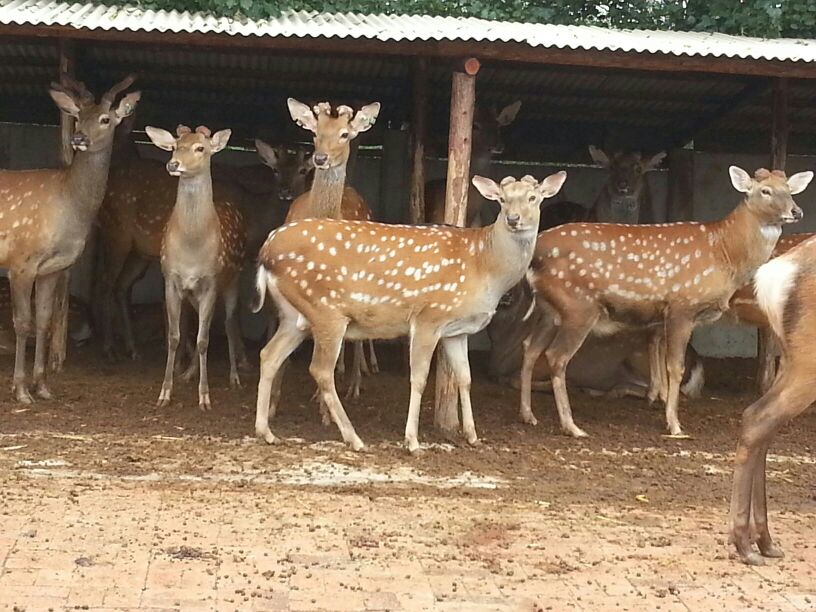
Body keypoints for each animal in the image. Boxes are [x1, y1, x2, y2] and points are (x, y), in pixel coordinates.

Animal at [0, 75, 139, 402]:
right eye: (78, 116)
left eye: (105, 118)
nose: (79, 138)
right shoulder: (22, 260)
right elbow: (22, 323)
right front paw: (20, 390)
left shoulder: (54, 268)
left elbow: (44, 320)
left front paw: (42, 386)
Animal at [145, 125, 246, 411]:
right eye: (174, 146)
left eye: (201, 148)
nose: (173, 164)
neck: (192, 249)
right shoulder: (170, 279)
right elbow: (174, 336)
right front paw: (165, 393)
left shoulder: (211, 281)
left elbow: (204, 340)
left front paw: (205, 397)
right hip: (192, 294)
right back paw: (189, 373)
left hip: (233, 281)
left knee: (229, 322)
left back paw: (234, 376)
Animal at [252, 172, 567, 452]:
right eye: (502, 199)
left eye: (533, 197)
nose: (514, 219)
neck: (484, 268)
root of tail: (266, 250)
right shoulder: (429, 316)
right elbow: (419, 378)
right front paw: (412, 441)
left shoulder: (457, 330)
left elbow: (465, 378)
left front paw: (473, 436)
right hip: (326, 310)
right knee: (320, 369)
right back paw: (354, 438)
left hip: (295, 316)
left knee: (269, 355)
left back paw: (266, 432)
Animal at [520, 167, 813, 438]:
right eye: (765, 191)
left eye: (789, 189)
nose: (796, 211)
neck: (724, 253)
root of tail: (536, 252)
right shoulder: (682, 305)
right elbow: (676, 366)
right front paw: (674, 425)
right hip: (578, 306)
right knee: (557, 356)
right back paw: (571, 426)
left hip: (549, 309)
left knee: (530, 348)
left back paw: (529, 415)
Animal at [729, 234, 816, 565]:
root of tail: (774, 275)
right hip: (807, 362)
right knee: (759, 419)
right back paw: (745, 544)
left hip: (789, 357)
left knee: (757, 421)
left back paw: (764, 540)